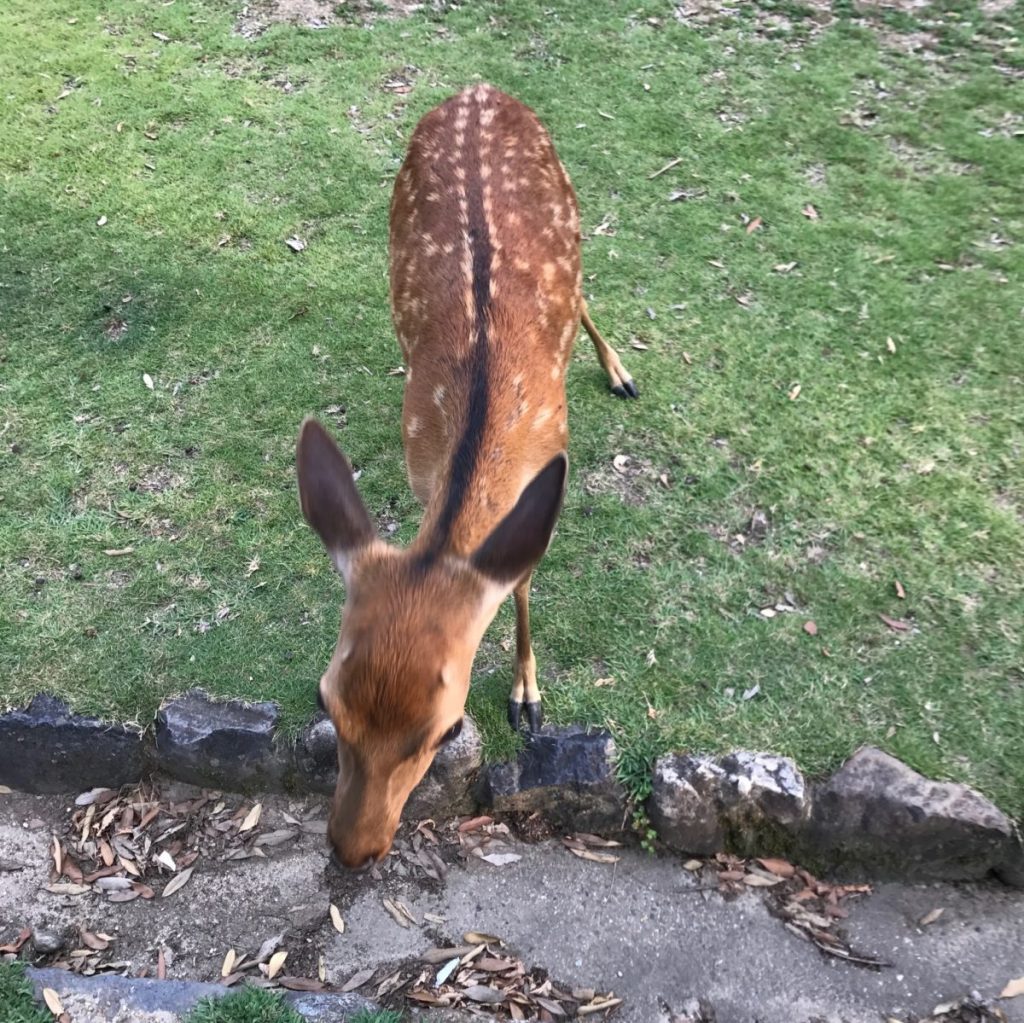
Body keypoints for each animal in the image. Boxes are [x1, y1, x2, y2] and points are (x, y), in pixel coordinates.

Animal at [292, 83, 634, 868]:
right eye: (327, 701)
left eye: (448, 728)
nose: (354, 847)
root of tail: (480, 88)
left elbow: (524, 579)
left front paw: (527, 696)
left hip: (571, 203)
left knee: (585, 294)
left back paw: (619, 370)